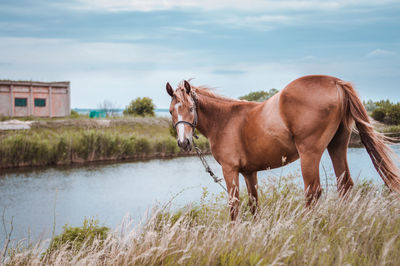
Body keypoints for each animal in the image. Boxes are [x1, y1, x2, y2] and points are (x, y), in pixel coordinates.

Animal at [165, 75, 400, 220]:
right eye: (171, 111)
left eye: (190, 108)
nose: (183, 142)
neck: (225, 119)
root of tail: (335, 82)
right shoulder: (249, 172)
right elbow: (254, 204)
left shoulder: (229, 170)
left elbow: (234, 206)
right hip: (337, 145)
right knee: (344, 185)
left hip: (310, 154)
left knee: (312, 192)